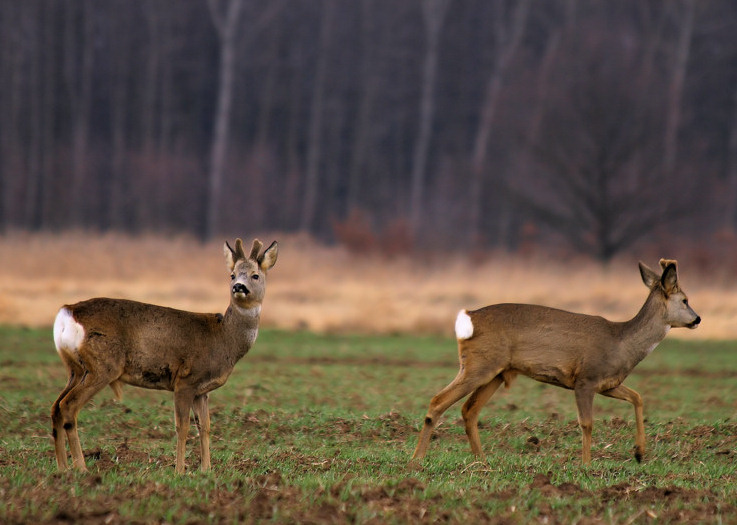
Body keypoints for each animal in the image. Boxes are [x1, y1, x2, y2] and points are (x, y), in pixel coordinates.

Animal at [51, 237, 276, 470]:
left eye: (255, 275)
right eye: (232, 274)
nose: (238, 286)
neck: (224, 339)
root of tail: (67, 312)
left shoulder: (202, 390)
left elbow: (205, 426)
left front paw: (206, 469)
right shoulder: (186, 380)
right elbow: (182, 427)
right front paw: (180, 471)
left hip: (76, 369)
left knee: (56, 407)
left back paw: (62, 467)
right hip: (102, 366)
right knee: (68, 405)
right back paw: (81, 468)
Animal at [412, 258, 700, 462]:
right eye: (685, 300)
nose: (697, 319)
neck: (622, 343)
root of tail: (469, 317)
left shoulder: (607, 383)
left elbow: (637, 397)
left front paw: (639, 453)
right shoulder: (585, 379)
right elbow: (587, 423)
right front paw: (586, 465)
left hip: (495, 372)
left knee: (469, 410)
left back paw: (481, 461)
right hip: (478, 365)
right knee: (438, 401)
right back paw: (417, 460)